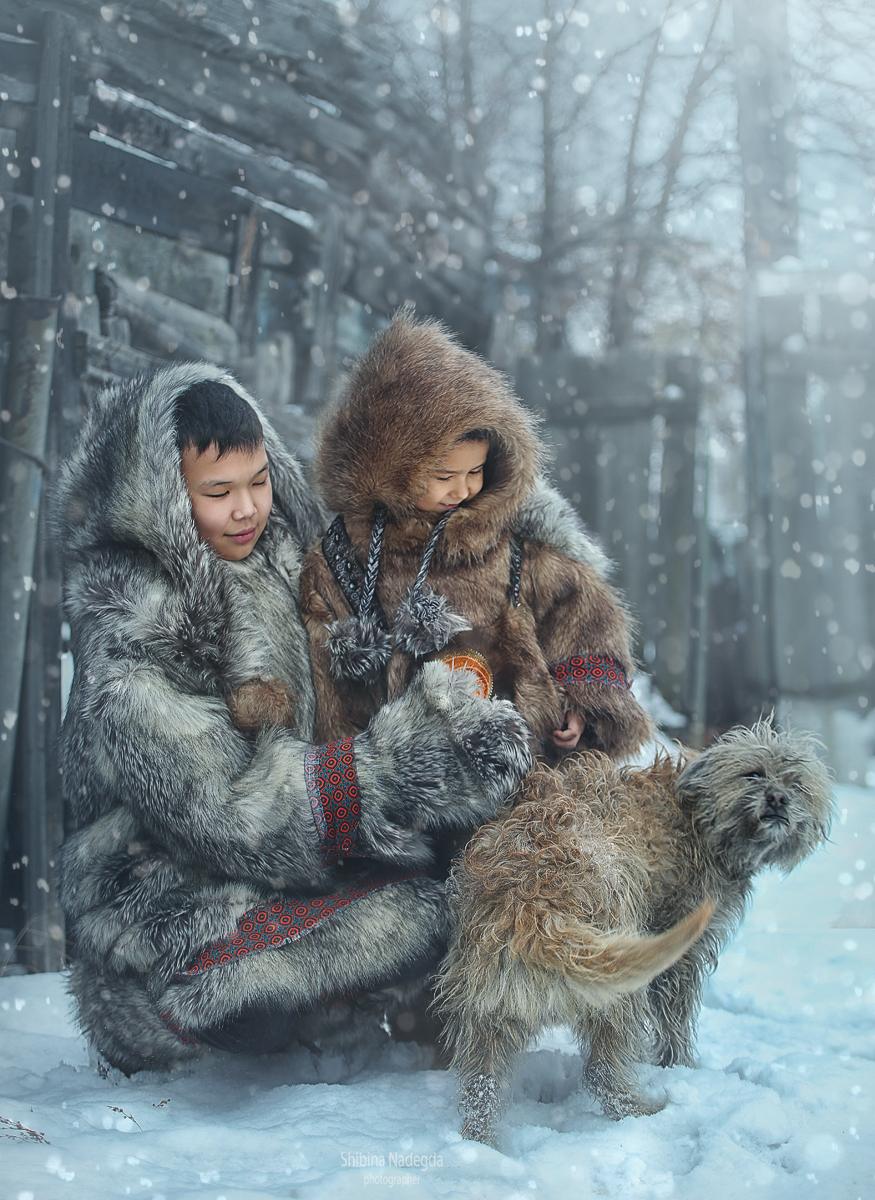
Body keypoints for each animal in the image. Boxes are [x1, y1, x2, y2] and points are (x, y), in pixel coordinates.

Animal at [436, 720, 830, 1142]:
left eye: (797, 783)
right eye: (753, 773)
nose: (778, 798)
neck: (697, 819)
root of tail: (529, 901)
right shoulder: (680, 956)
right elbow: (675, 1021)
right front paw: (680, 1067)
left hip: (489, 1006)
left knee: (482, 1084)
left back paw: (481, 1139)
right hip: (616, 984)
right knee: (602, 1072)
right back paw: (645, 1110)